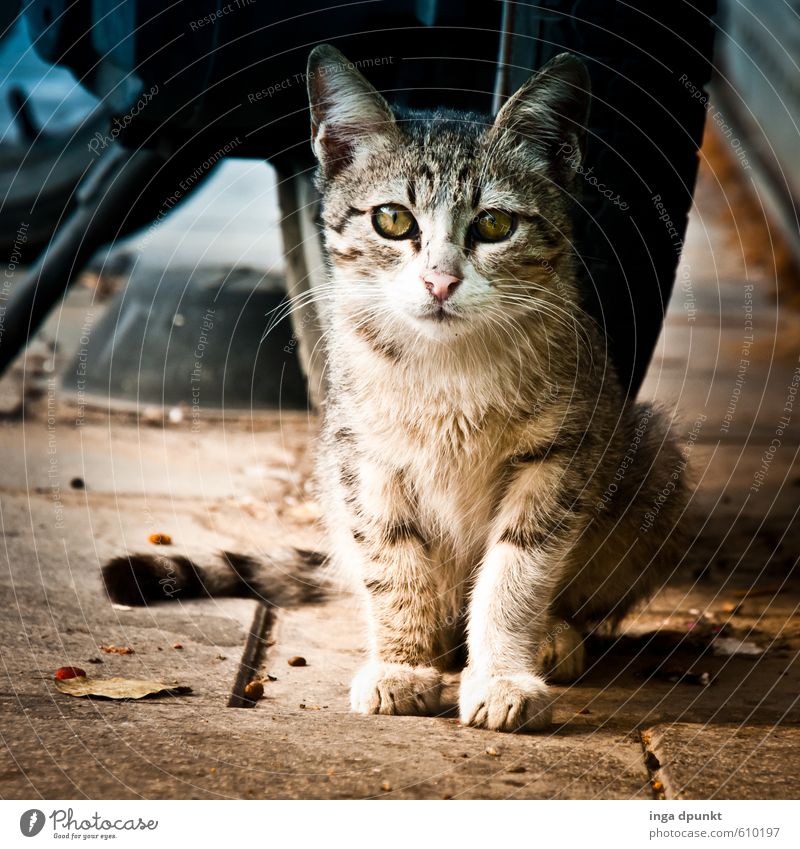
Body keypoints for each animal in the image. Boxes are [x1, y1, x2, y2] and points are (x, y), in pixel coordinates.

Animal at [104, 44, 688, 728]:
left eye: (494, 224)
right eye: (392, 219)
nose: (440, 281)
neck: (448, 369)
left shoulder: (561, 455)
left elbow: (517, 571)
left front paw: (502, 673)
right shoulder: (365, 457)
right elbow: (393, 562)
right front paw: (403, 663)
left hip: (653, 456)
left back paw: (551, 634)